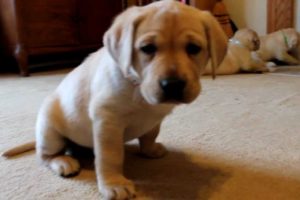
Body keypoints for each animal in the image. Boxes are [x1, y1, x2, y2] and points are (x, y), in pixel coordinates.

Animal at [1, 0, 227, 199]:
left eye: (193, 48)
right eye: (148, 48)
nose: (172, 84)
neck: (137, 86)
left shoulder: (155, 118)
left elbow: (150, 134)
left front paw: (150, 149)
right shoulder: (107, 120)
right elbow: (110, 156)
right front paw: (114, 184)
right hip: (50, 132)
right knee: (44, 156)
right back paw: (63, 162)